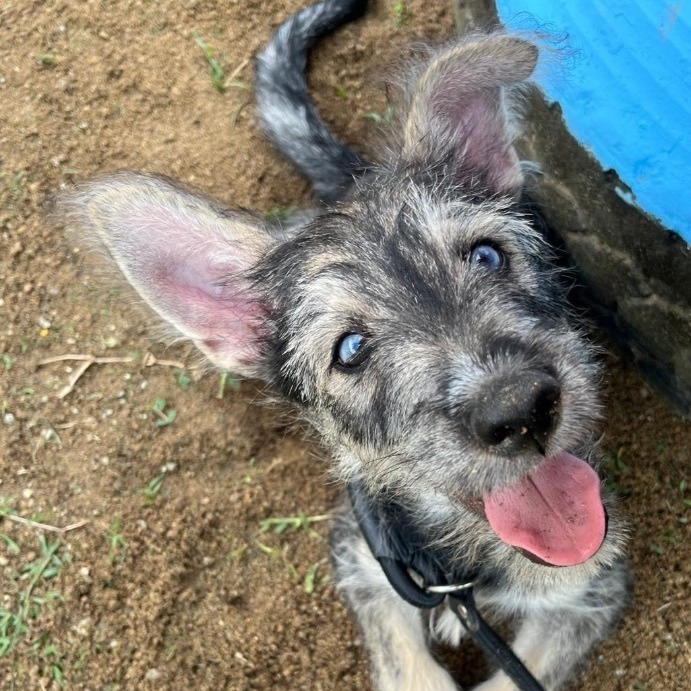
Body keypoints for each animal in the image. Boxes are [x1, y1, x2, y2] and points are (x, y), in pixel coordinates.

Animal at [56, 2, 636, 688]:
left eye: (488, 256)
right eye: (351, 350)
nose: (519, 408)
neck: (466, 569)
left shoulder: (591, 589)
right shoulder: (364, 562)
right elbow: (409, 670)